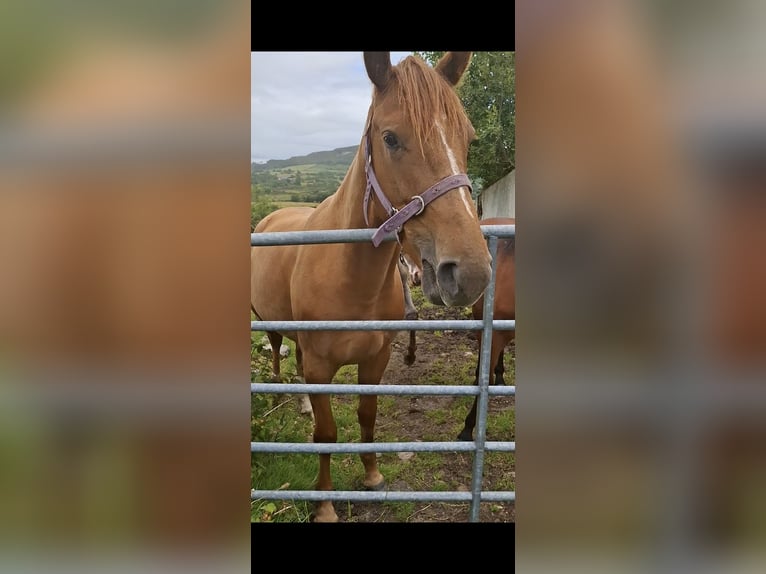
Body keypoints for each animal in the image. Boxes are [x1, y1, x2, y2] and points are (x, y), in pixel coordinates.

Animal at [251, 52, 492, 523]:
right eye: (391, 138)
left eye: (469, 138)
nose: (470, 271)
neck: (350, 279)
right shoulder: (321, 369)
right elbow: (326, 433)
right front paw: (324, 503)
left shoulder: (375, 360)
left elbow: (367, 415)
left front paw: (372, 475)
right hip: (269, 327)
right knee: (275, 356)